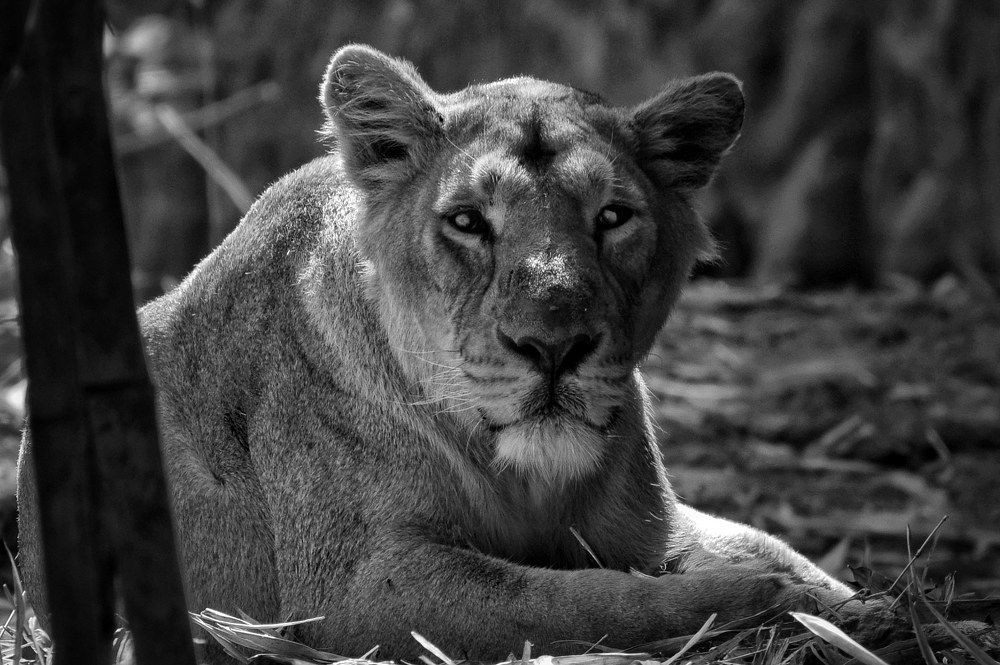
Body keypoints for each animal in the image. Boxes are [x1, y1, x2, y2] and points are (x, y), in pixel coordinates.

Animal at [18, 45, 866, 661]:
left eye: (613, 216)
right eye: (466, 221)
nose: (553, 345)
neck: (524, 477)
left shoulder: (653, 528)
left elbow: (753, 550)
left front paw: (838, 599)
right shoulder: (357, 588)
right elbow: (584, 599)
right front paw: (787, 605)